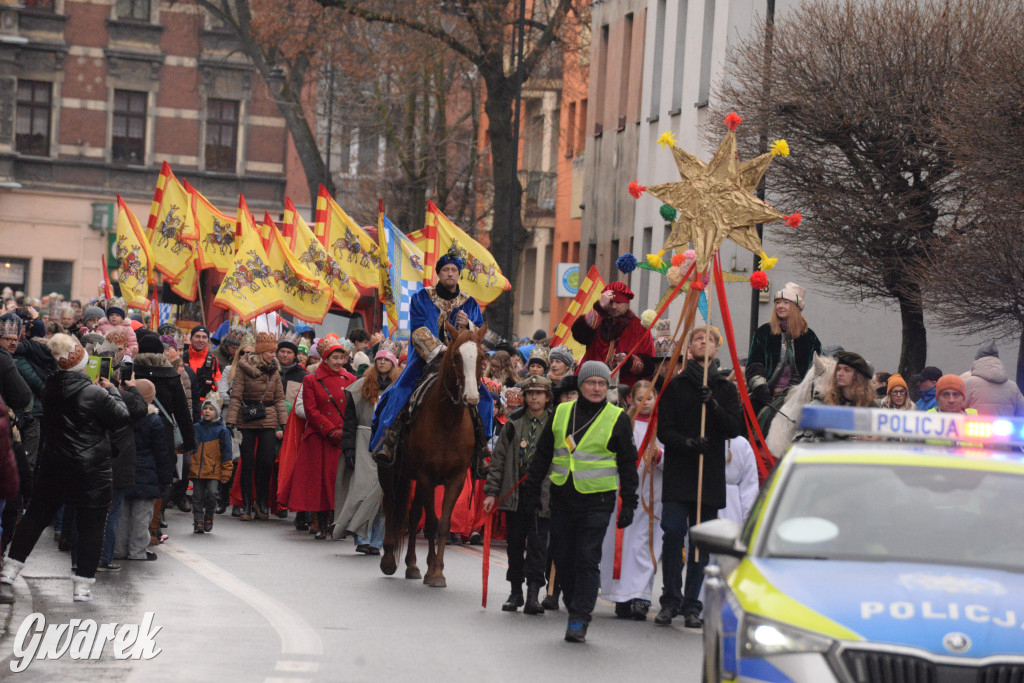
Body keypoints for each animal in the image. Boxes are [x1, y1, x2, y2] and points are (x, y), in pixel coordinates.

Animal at [378, 321, 485, 589]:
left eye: (482, 357)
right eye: (456, 356)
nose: (471, 397)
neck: (447, 420)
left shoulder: (456, 478)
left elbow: (442, 524)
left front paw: (436, 569)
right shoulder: (426, 477)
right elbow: (432, 522)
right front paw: (434, 570)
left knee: (413, 514)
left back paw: (413, 565)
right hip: (389, 471)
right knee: (391, 505)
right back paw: (389, 560)